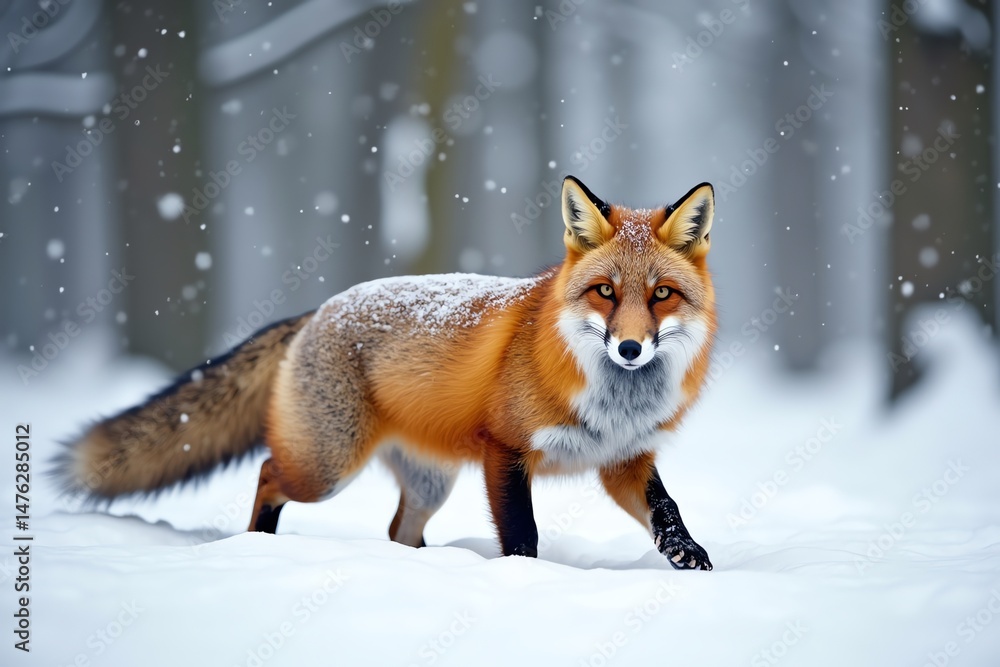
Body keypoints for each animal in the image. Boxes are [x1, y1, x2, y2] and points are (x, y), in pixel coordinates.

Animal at [56, 175, 718, 570]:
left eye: (661, 294)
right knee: (269, 473)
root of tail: (318, 310)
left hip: (429, 484)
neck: (614, 402)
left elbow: (667, 509)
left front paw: (688, 554)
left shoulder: (623, 459)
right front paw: (521, 581)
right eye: (605, 291)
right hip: (326, 466)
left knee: (399, 529)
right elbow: (522, 536)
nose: (629, 349)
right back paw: (259, 544)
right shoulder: (505, 450)